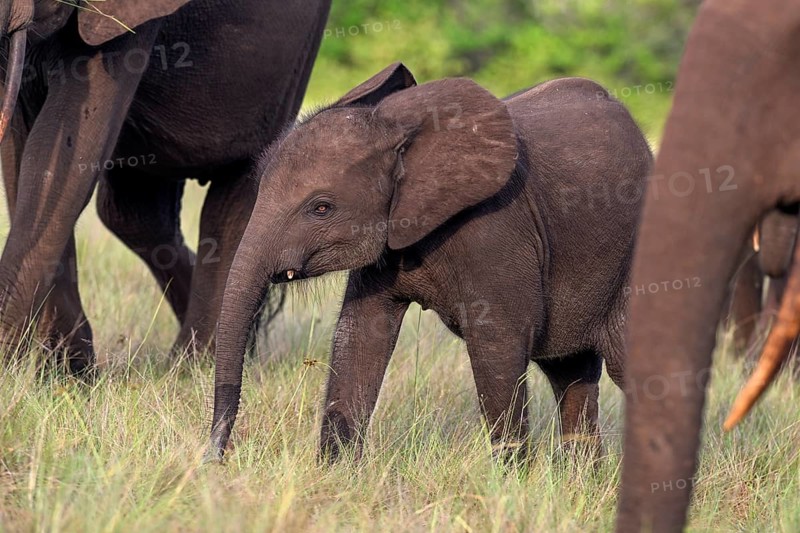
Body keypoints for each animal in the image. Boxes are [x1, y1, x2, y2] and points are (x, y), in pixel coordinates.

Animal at [0, 0, 331, 373]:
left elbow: (64, 155)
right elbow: (24, 155)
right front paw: (67, 371)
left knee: (233, 197)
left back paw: (194, 368)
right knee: (135, 215)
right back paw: (238, 344)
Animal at [207, 62, 653, 462]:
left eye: (321, 208)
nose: (215, 459)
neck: (397, 135)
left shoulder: (494, 228)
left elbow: (498, 341)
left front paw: (510, 484)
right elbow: (360, 335)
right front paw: (335, 474)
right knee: (570, 374)